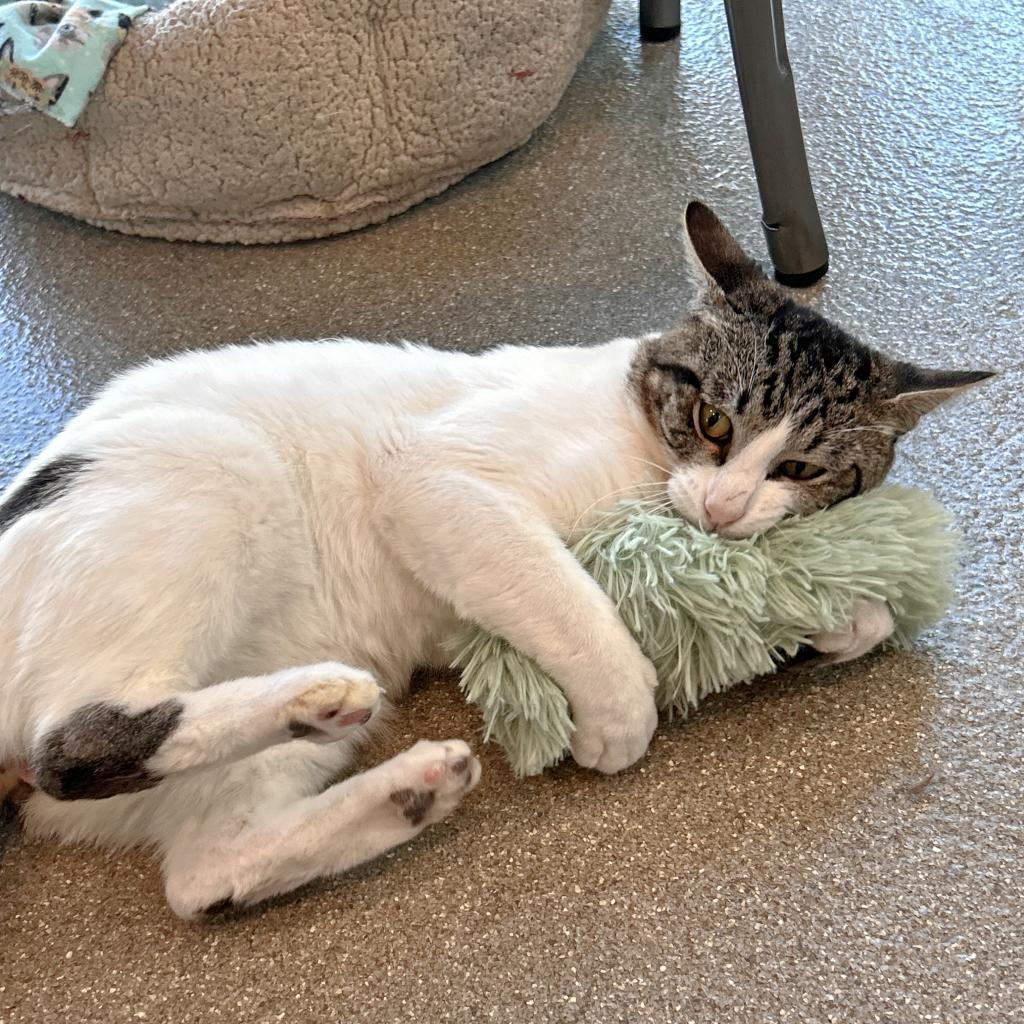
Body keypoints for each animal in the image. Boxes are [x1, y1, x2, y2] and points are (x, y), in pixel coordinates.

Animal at [0, 203, 991, 917]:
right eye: (714, 421)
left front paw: (833, 625)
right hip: (213, 464)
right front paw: (621, 710)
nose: (723, 507)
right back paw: (320, 699)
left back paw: (409, 787)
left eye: (800, 469)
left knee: (203, 874)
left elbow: (827, 609)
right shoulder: (434, 479)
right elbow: (571, 599)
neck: (640, 443)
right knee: (72, 739)